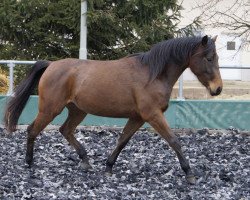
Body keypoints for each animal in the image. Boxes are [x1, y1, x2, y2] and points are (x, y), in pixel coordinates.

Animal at [3, 35, 223, 184]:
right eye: (209, 58)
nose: (218, 89)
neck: (152, 74)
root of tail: (51, 65)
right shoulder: (152, 115)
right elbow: (174, 140)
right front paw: (189, 173)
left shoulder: (138, 117)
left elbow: (122, 140)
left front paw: (108, 167)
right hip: (50, 109)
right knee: (33, 129)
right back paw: (29, 162)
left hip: (77, 110)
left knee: (65, 130)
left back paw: (85, 161)